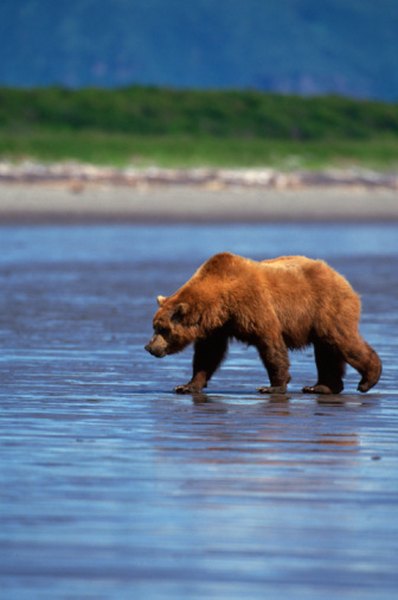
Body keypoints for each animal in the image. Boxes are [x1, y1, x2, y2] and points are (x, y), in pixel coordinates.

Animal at [145, 252, 380, 396]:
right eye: (154, 326)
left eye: (162, 329)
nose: (149, 347)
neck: (221, 300)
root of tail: (340, 277)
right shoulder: (217, 327)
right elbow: (208, 355)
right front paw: (186, 385)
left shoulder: (253, 306)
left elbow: (270, 344)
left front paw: (273, 386)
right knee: (326, 349)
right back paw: (321, 387)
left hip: (326, 307)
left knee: (341, 341)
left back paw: (368, 379)